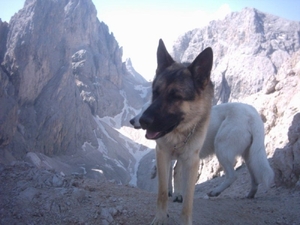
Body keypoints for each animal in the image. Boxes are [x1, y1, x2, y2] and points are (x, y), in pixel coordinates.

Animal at [138, 40, 213, 225]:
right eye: (155, 92)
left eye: (175, 96)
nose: (143, 121)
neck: (180, 132)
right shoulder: (162, 152)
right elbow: (162, 191)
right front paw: (160, 217)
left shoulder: (192, 159)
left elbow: (188, 200)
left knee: (177, 169)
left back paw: (178, 192)